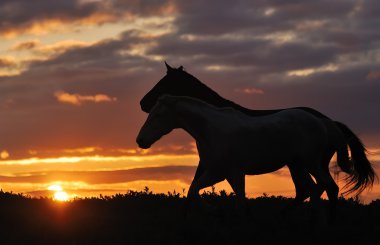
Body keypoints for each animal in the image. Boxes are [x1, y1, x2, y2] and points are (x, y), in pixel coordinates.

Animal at [138, 62, 376, 221]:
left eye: (164, 82)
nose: (142, 103)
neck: (211, 126)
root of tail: (327, 122)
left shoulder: (230, 171)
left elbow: (233, 198)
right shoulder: (217, 169)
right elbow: (194, 188)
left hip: (310, 163)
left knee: (325, 188)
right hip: (298, 164)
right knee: (310, 190)